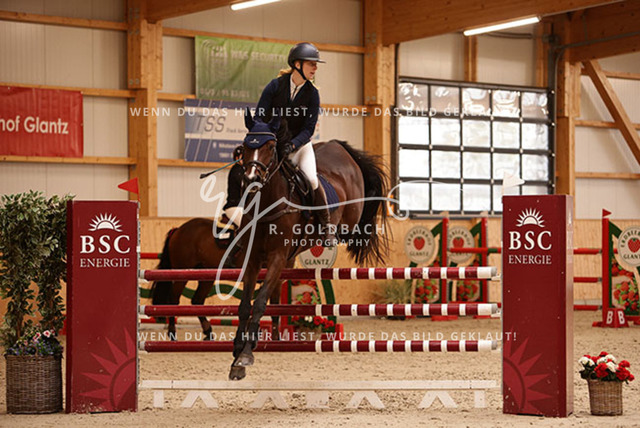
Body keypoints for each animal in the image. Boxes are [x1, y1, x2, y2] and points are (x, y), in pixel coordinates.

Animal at [229, 113, 389, 380]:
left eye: (270, 147)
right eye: (245, 145)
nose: (251, 180)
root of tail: (339, 148)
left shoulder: (277, 258)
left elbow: (260, 302)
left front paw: (246, 355)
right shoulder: (253, 259)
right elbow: (244, 305)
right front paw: (237, 352)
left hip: (351, 216)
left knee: (353, 223)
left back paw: (337, 235)